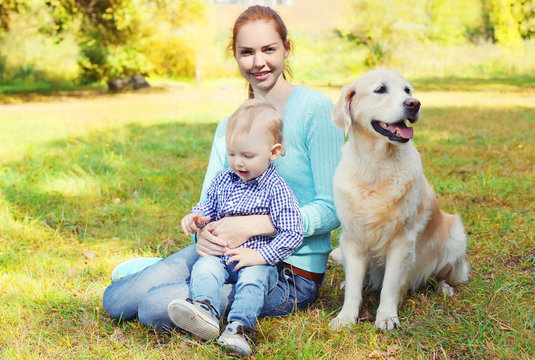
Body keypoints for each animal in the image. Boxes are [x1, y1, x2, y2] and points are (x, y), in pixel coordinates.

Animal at [328, 69, 472, 330]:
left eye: (408, 90)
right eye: (380, 89)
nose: (414, 104)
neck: (376, 166)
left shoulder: (402, 240)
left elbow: (391, 285)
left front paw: (386, 317)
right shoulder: (352, 238)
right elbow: (353, 287)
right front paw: (345, 317)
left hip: (455, 236)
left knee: (447, 274)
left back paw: (444, 288)